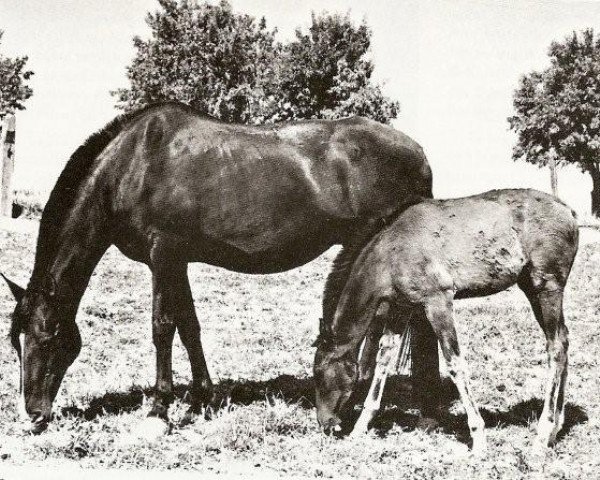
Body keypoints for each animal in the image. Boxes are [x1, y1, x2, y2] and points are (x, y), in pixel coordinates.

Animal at [1, 100, 440, 436]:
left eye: (47, 336)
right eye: (15, 342)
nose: (32, 415)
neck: (134, 164)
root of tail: (419, 154)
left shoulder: (164, 254)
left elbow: (162, 327)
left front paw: (159, 411)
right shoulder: (177, 260)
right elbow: (188, 325)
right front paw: (202, 399)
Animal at [316, 189, 580, 452]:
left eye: (318, 373)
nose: (325, 424)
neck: (391, 250)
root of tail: (567, 209)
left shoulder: (438, 302)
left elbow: (454, 363)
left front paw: (478, 438)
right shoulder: (402, 307)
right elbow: (383, 359)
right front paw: (360, 427)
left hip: (547, 287)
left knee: (555, 347)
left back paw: (543, 434)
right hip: (531, 288)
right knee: (564, 339)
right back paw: (556, 428)